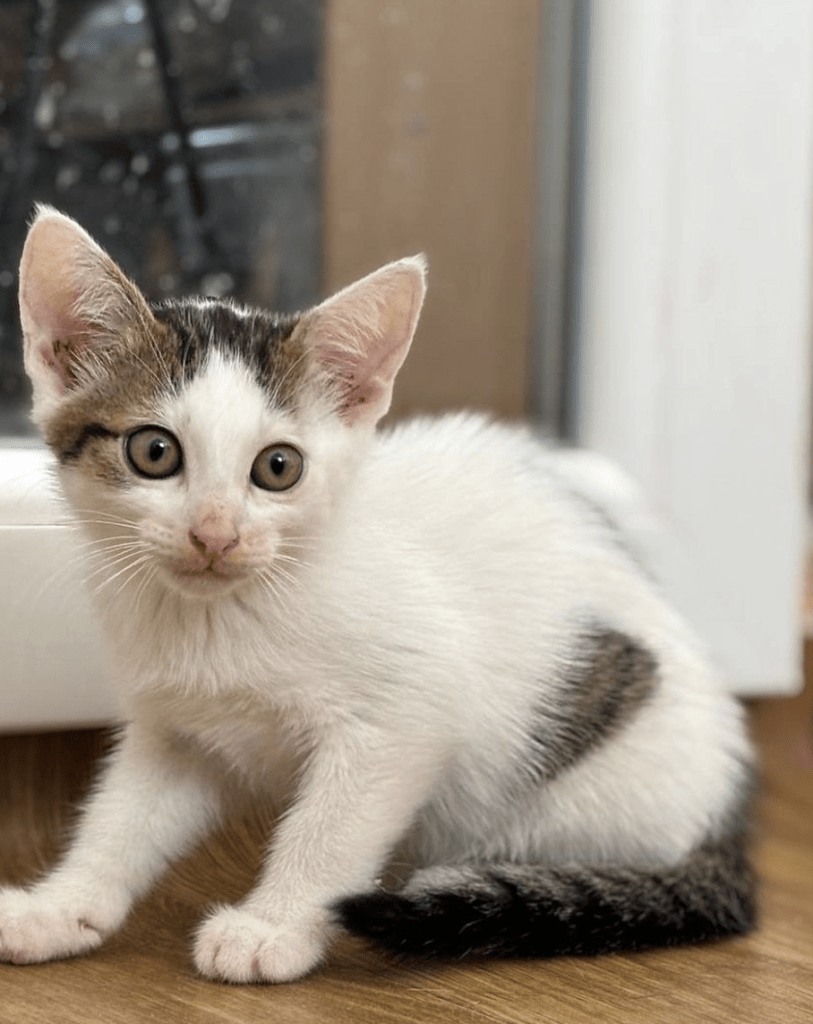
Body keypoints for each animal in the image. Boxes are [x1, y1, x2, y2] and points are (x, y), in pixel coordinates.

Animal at [0, 207, 753, 983]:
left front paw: (273, 927)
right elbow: (120, 819)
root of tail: (724, 807)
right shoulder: (177, 731)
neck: (223, 616)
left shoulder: (406, 717)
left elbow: (330, 829)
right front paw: (63, 906)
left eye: (278, 467)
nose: (215, 534)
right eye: (154, 452)